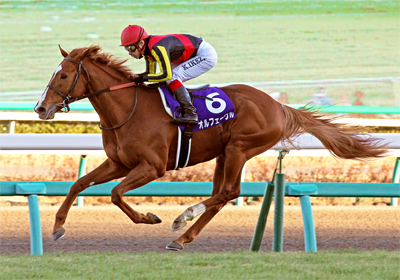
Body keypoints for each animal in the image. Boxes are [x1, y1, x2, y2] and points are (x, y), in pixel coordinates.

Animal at [35, 46, 388, 252]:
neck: (126, 109)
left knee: (228, 192)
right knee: (221, 196)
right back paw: (182, 238)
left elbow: (115, 194)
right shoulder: (119, 163)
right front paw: (57, 227)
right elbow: (78, 184)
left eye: (63, 75)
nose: (40, 108)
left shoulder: (152, 166)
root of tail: (278, 105)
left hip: (239, 148)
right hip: (223, 153)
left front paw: (149, 217)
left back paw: (182, 221)